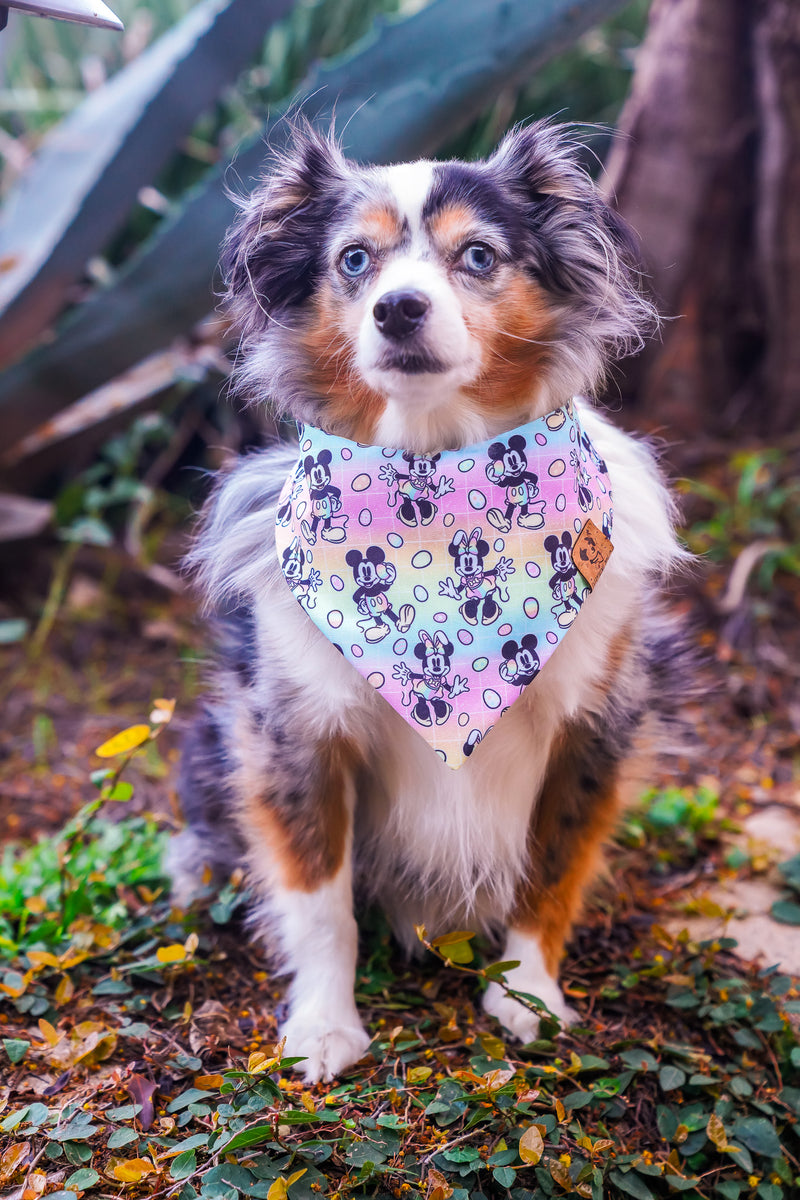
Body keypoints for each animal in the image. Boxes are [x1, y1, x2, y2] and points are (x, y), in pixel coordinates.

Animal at [167, 124, 690, 1089]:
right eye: (354, 260)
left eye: (477, 255)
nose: (398, 309)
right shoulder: (299, 730)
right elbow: (320, 898)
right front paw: (324, 1025)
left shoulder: (596, 722)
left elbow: (552, 869)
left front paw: (530, 998)